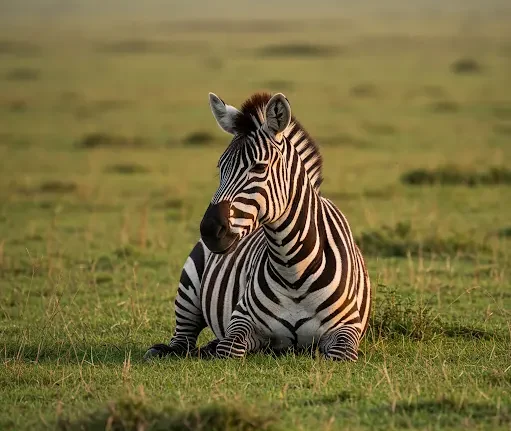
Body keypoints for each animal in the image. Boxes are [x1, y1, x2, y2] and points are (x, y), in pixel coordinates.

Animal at [145, 92, 372, 362]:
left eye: (260, 167)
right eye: (220, 168)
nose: (210, 230)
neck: (293, 270)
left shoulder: (348, 326)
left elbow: (340, 354)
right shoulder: (241, 318)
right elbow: (229, 348)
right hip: (189, 285)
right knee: (183, 340)